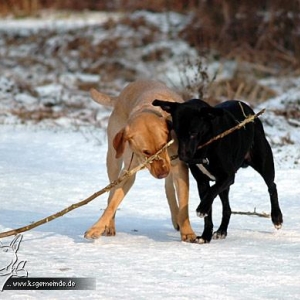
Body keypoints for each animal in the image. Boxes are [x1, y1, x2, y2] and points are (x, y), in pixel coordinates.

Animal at [84, 79, 197, 241]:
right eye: (146, 152)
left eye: (163, 146)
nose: (162, 173)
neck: (148, 108)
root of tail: (120, 96)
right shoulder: (128, 172)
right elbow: (113, 202)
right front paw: (97, 227)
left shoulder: (178, 166)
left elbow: (184, 203)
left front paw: (187, 232)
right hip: (113, 160)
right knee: (111, 193)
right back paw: (110, 225)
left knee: (169, 187)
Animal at [154, 99, 282, 244]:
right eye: (177, 132)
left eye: (193, 133)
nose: (183, 157)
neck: (206, 144)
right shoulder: (202, 181)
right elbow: (209, 210)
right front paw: (205, 236)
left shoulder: (227, 176)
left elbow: (211, 192)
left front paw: (202, 208)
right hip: (225, 187)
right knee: (227, 208)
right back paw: (221, 231)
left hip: (264, 163)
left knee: (272, 186)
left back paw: (277, 217)